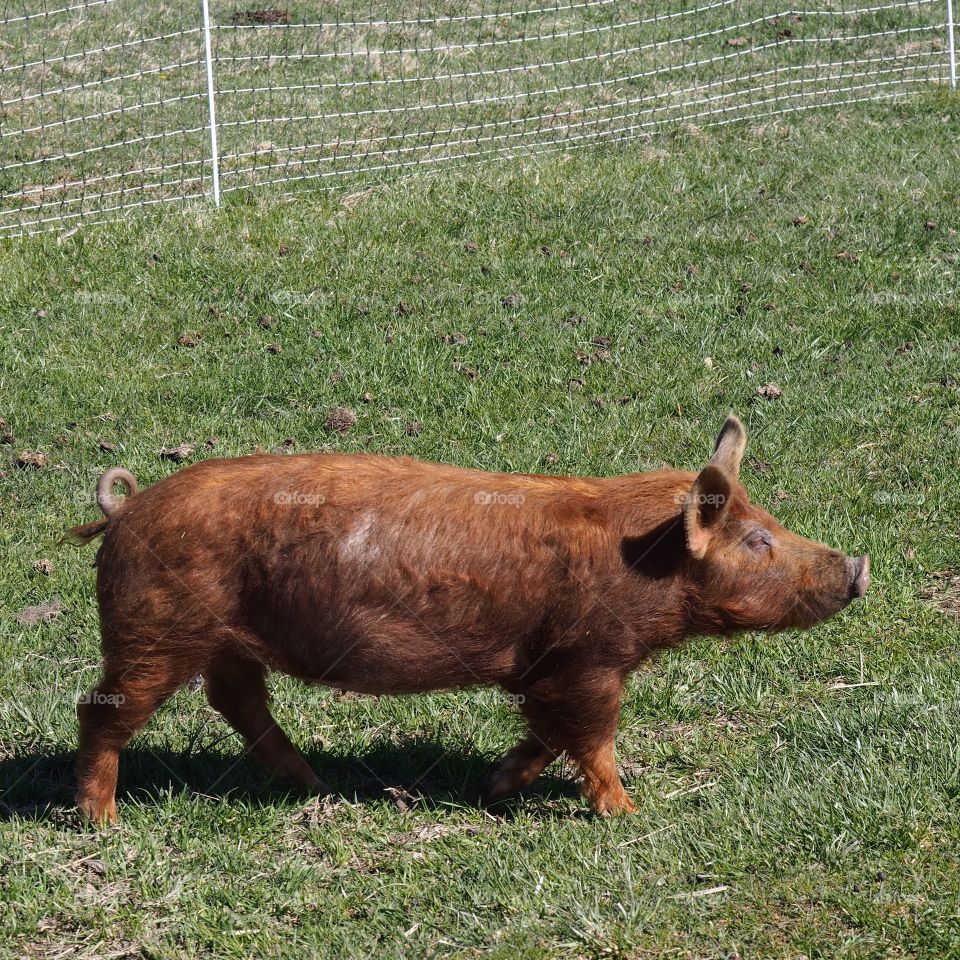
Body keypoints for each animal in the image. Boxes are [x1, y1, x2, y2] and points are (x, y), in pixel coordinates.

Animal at [67, 408, 872, 820]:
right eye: (759, 541)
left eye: (769, 524)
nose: (861, 566)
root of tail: (125, 511)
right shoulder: (588, 660)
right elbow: (593, 737)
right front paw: (628, 814)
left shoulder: (551, 669)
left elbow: (546, 733)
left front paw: (495, 786)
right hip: (154, 629)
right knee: (100, 711)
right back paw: (103, 820)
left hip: (222, 639)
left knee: (236, 699)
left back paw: (314, 785)